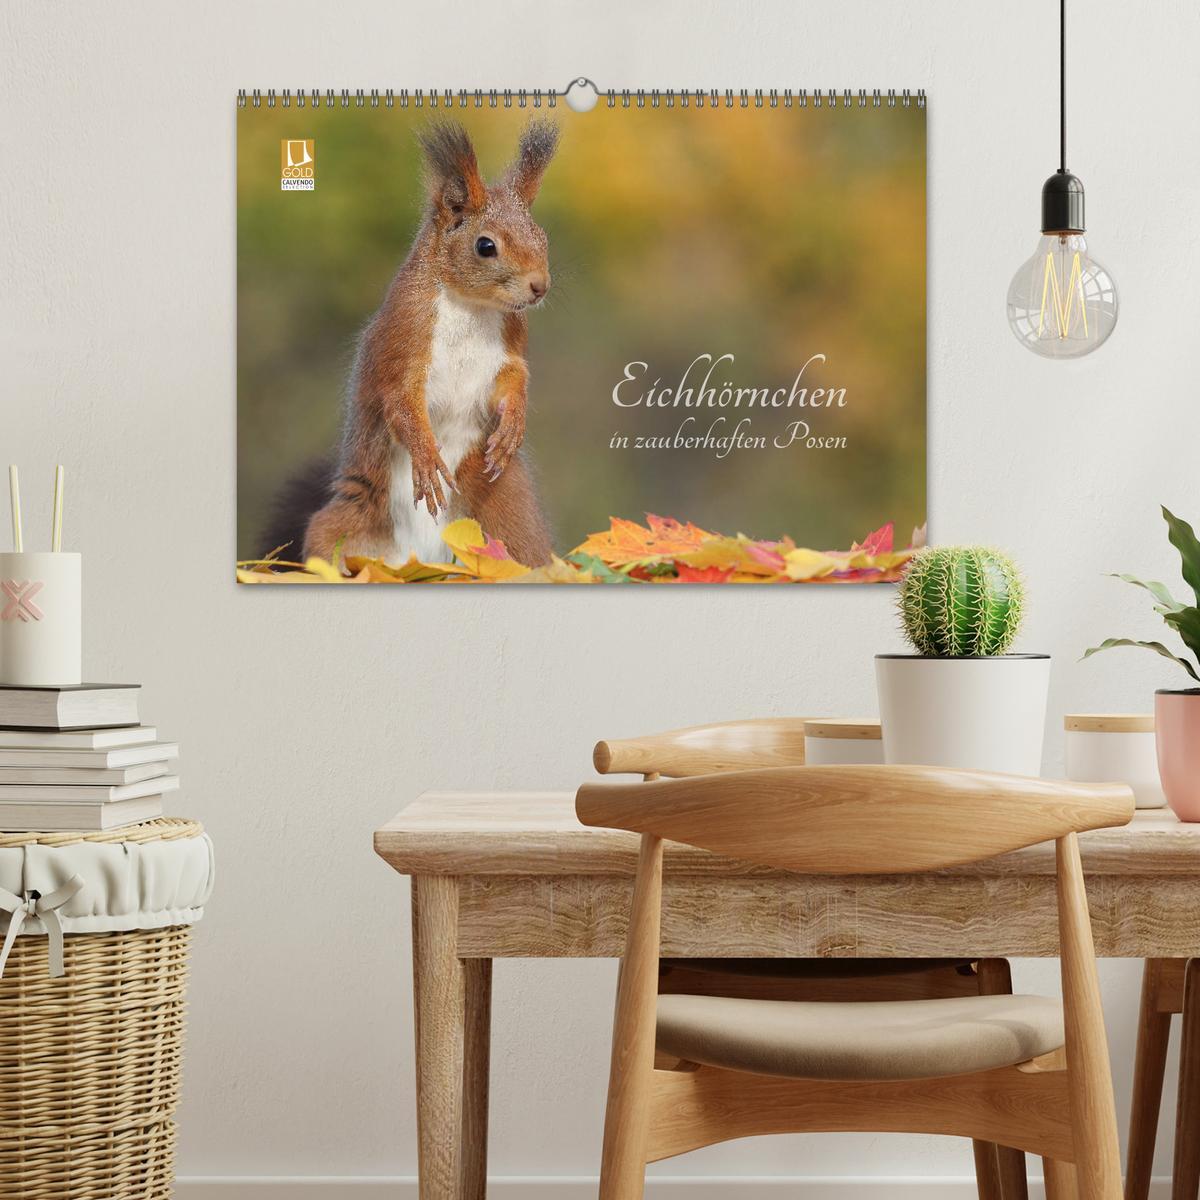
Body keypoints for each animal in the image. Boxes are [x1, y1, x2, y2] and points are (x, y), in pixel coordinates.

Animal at [266, 120, 559, 568]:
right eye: (485, 246)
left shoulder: (510, 349)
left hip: (509, 516)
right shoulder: (403, 340)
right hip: (345, 524)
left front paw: (513, 424)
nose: (539, 286)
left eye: (542, 237)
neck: (471, 308)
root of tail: (420, 559)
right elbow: (401, 403)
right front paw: (425, 457)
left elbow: (513, 380)